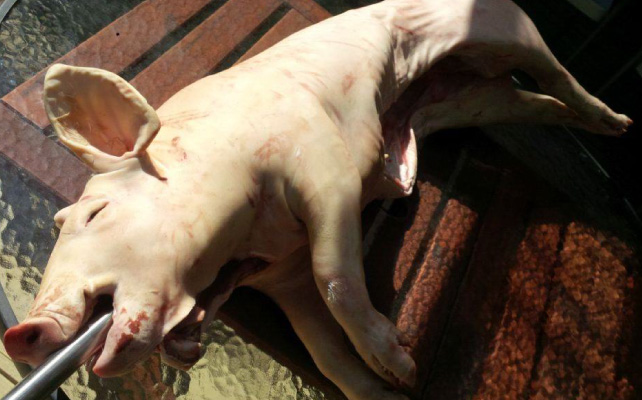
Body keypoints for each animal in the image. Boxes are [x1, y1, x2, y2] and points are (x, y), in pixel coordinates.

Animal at [4, 0, 631, 399]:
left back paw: (618, 126)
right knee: (525, 101)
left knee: (552, 72)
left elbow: (338, 278)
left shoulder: (326, 168)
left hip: (505, 28)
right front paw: (392, 391)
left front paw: (404, 367)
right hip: (468, 98)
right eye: (57, 222)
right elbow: (323, 350)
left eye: (95, 212)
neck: (251, 238)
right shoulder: (285, 278)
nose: (22, 333)